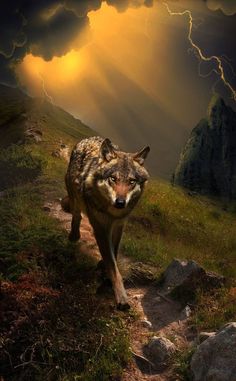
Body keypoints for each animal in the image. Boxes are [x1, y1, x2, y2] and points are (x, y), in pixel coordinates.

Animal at [60, 137, 149, 308]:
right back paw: (74, 236)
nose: (120, 202)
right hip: (75, 195)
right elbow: (113, 265)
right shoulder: (101, 228)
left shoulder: (119, 225)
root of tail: (87, 139)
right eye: (113, 179)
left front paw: (104, 268)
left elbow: (114, 251)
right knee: (77, 214)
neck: (113, 214)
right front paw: (121, 297)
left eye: (131, 181)